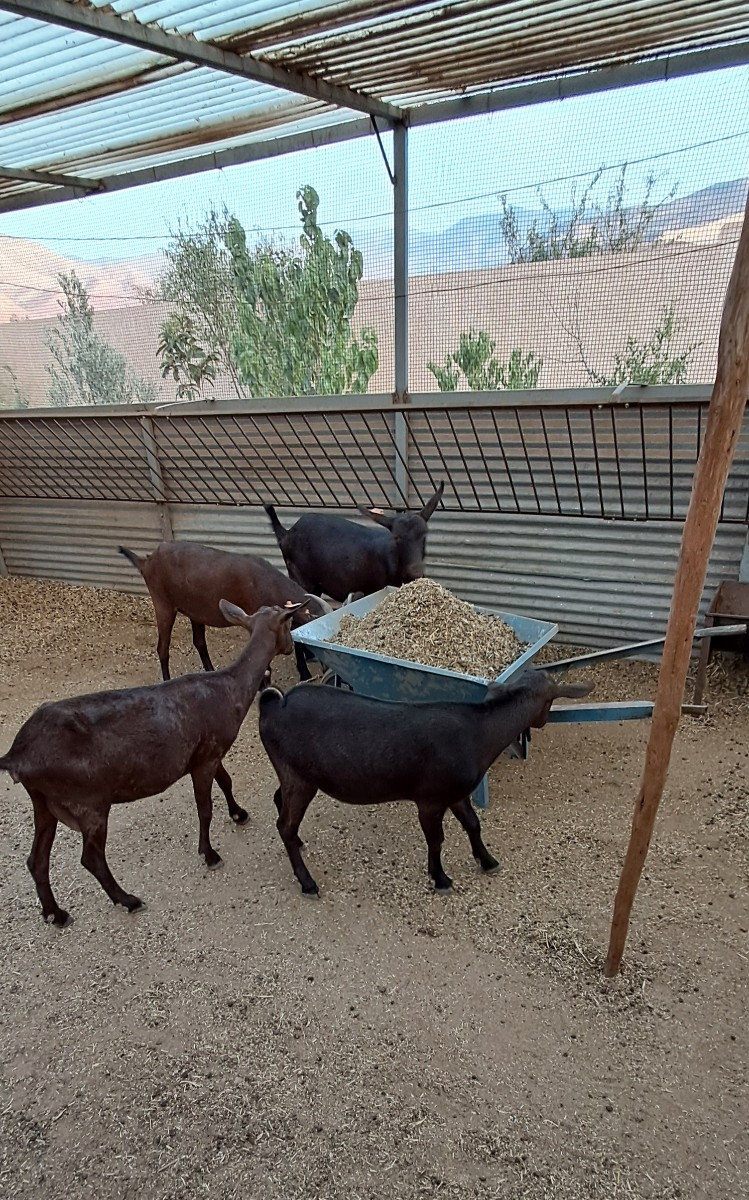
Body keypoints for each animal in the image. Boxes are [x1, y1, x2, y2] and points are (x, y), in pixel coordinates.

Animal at [0, 601, 302, 926]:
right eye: (288, 622)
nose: (291, 646)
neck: (229, 690)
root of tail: (16, 756)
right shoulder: (206, 757)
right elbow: (205, 809)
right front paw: (209, 854)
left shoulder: (206, 752)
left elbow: (226, 781)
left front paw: (238, 814)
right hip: (87, 800)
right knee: (90, 857)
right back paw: (128, 900)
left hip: (43, 801)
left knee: (37, 860)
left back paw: (55, 913)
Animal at [118, 541, 330, 683]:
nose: (326, 669)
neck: (266, 582)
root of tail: (146, 561)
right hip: (163, 603)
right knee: (163, 647)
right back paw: (167, 679)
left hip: (195, 611)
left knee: (199, 642)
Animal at [258, 668, 593, 896]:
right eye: (549, 702)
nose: (543, 723)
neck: (478, 734)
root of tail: (273, 705)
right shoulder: (430, 800)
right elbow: (436, 840)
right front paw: (441, 878)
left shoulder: (456, 794)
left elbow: (473, 824)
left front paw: (487, 861)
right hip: (300, 779)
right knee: (284, 825)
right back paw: (307, 882)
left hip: (292, 774)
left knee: (279, 803)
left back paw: (300, 843)